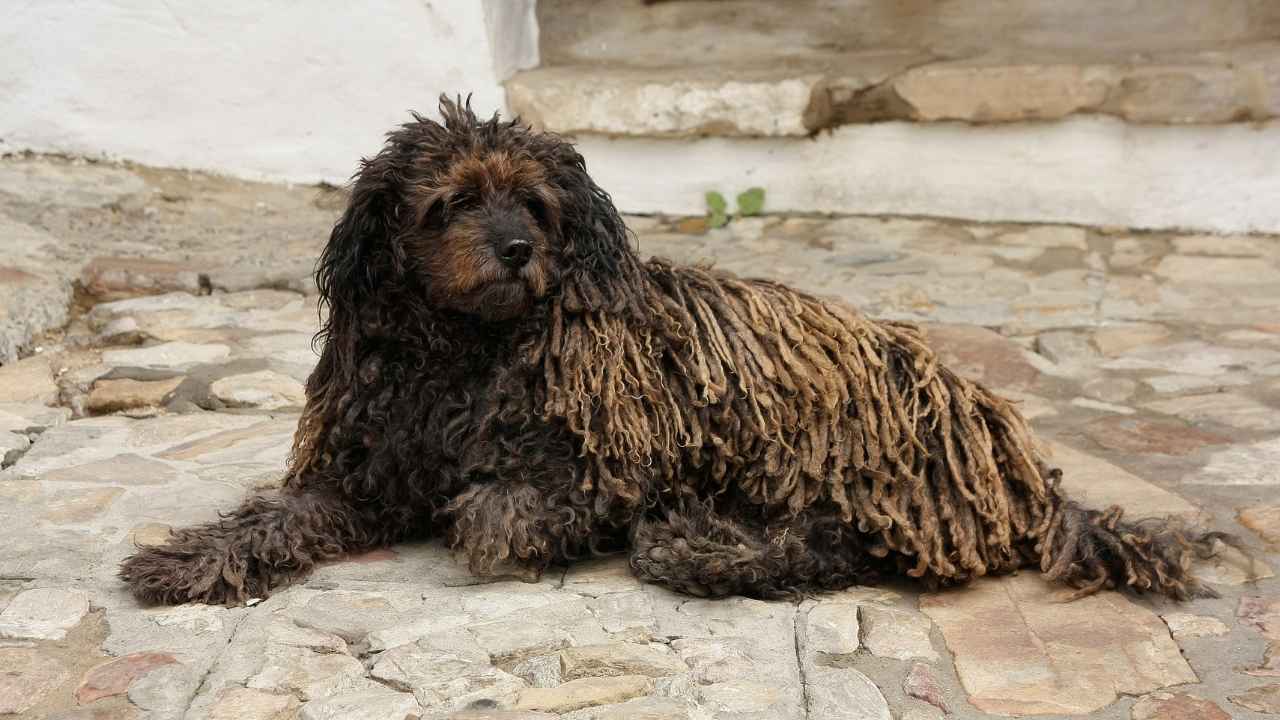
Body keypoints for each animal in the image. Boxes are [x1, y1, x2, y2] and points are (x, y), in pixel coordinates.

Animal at [117, 92, 1218, 602]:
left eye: (535, 203)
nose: (516, 250)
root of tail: (1011, 461)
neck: (463, 348)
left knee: (844, 546)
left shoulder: (605, 465)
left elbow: (508, 504)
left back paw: (696, 544)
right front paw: (186, 558)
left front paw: (497, 523)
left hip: (805, 443)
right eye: (450, 204)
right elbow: (271, 518)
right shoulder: (358, 476)